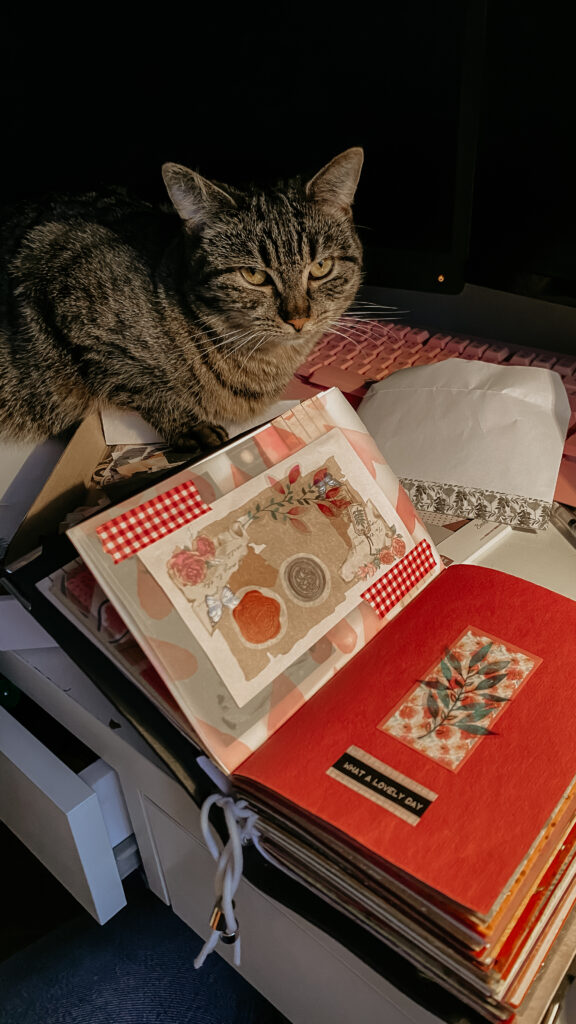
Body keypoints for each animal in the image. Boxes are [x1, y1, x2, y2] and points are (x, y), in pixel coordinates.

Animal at [0, 148, 364, 453]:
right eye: (253, 275)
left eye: (321, 267)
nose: (298, 318)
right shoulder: (65, 292)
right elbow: (140, 381)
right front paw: (191, 426)